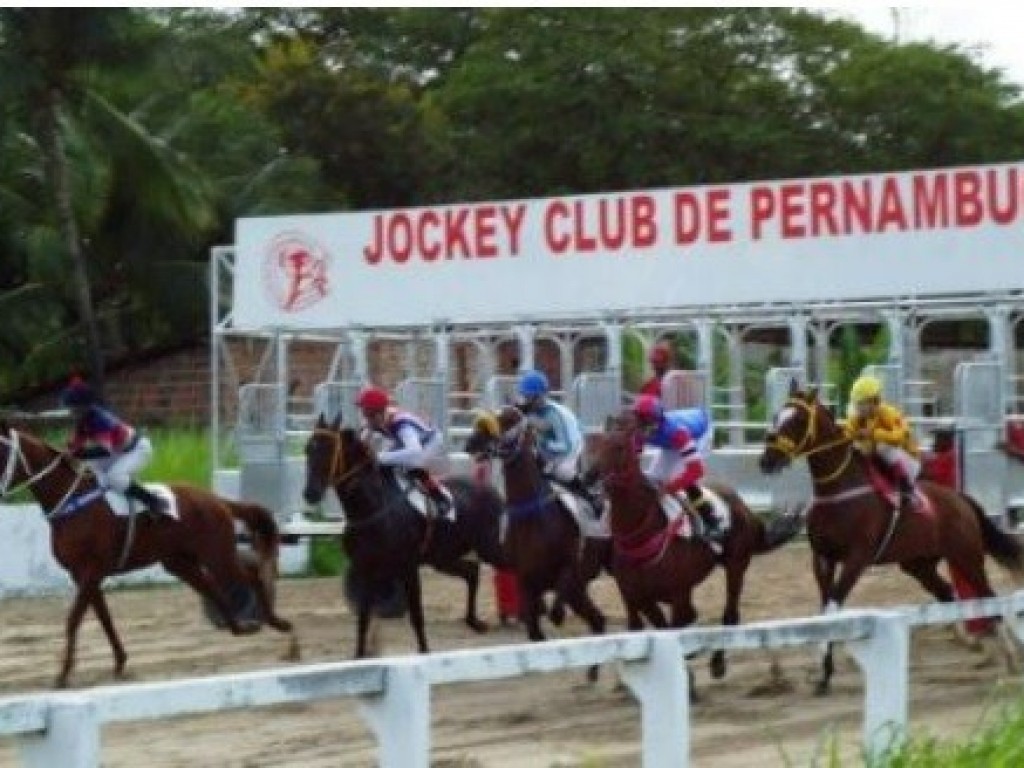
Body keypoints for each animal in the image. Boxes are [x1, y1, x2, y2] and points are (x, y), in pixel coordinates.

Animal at [0, 423, 299, 688]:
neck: (71, 502)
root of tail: (217, 500)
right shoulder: (83, 576)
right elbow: (104, 618)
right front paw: (120, 662)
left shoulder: (90, 571)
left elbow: (73, 619)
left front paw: (62, 674)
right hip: (179, 563)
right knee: (212, 587)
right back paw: (240, 627)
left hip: (217, 554)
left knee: (251, 577)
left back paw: (280, 627)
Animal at [303, 417, 512, 659]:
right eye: (308, 449)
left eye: (327, 450)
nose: (310, 493)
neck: (372, 507)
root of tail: (492, 490)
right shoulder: (365, 568)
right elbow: (363, 619)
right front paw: (359, 656)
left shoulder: (408, 567)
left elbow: (416, 616)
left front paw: (425, 652)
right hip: (442, 558)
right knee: (472, 572)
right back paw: (474, 621)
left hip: (491, 547)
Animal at [464, 405, 606, 659]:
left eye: (507, 421)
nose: (470, 442)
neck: (534, 516)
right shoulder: (526, 581)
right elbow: (534, 632)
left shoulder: (569, 565)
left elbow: (559, 594)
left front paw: (556, 614)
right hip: (579, 592)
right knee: (598, 622)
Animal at [598, 415, 802, 696]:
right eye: (593, 443)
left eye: (617, 447)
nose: (589, 476)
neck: (643, 532)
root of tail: (741, 504)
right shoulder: (636, 593)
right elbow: (658, 625)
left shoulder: (676, 591)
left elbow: (674, 625)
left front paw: (689, 675)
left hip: (736, 564)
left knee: (730, 615)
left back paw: (718, 663)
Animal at [761, 382, 1024, 696]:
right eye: (776, 415)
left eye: (798, 420)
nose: (766, 460)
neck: (839, 489)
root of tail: (961, 500)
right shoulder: (823, 558)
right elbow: (825, 612)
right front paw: (824, 676)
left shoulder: (856, 558)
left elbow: (833, 607)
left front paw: (822, 671)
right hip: (919, 565)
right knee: (949, 593)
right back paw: (974, 644)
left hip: (966, 556)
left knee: (987, 596)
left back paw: (1009, 656)